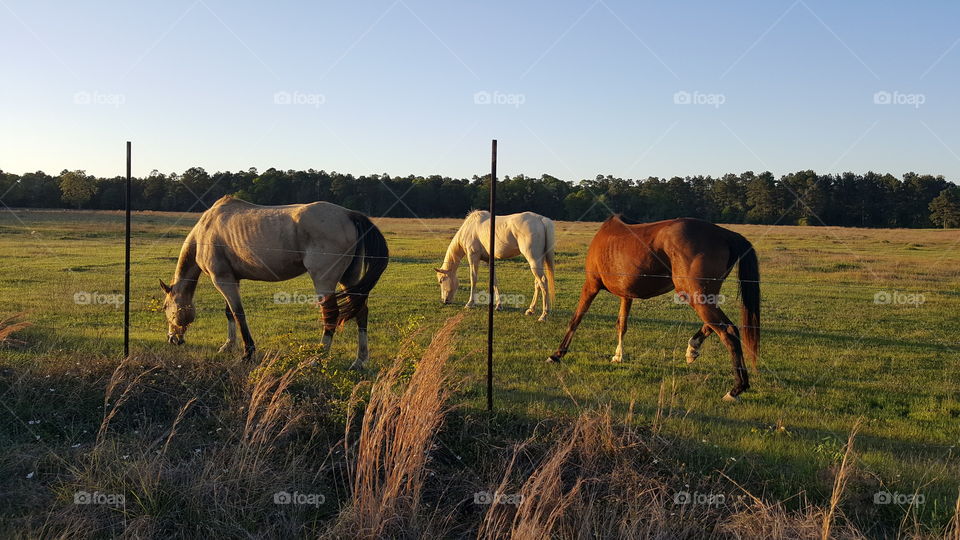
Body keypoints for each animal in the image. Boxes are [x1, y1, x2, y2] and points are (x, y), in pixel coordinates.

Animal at [159, 196, 389, 369]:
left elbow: (239, 314)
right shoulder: (232, 279)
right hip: (349, 279)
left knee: (331, 315)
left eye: (164, 307)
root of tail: (348, 214)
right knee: (361, 311)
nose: (172, 339)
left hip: (324, 281)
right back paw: (360, 360)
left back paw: (317, 359)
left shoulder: (222, 280)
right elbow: (230, 313)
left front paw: (248, 353)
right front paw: (228, 346)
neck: (204, 232)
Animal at [547, 215, 760, 402]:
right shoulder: (626, 295)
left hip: (695, 296)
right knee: (717, 325)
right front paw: (618, 356)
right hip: (704, 295)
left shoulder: (591, 285)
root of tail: (725, 234)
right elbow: (621, 324)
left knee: (728, 331)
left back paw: (736, 389)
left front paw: (557, 354)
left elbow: (576, 318)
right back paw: (693, 348)